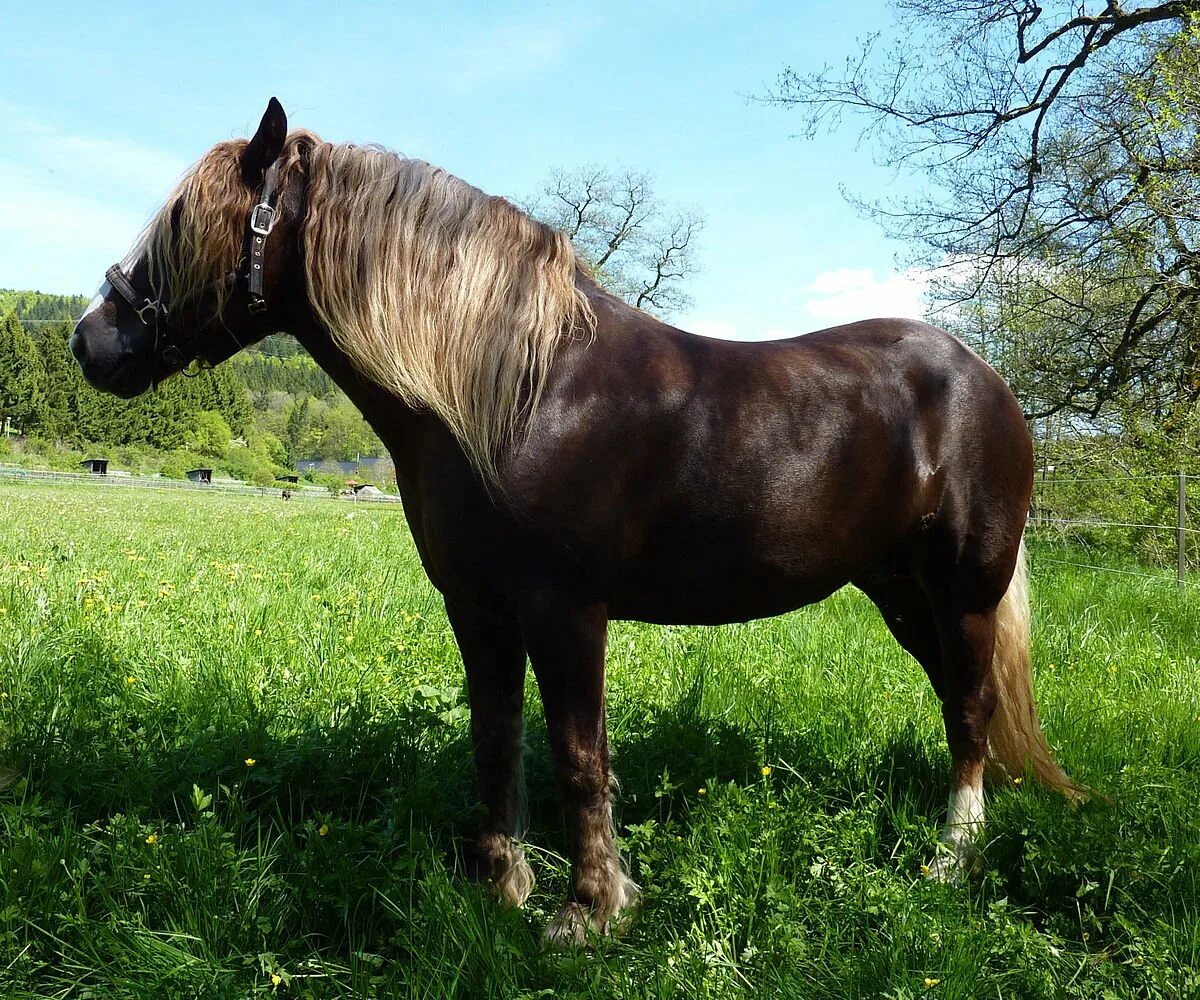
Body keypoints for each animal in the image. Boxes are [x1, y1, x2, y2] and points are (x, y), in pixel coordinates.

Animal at [71, 98, 1081, 945]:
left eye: (183, 225)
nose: (90, 341)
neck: (521, 392)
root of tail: (988, 381)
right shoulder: (478, 610)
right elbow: (495, 742)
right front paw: (498, 888)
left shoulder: (567, 611)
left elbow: (577, 755)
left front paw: (589, 911)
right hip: (901, 594)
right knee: (959, 702)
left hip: (964, 591)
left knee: (972, 709)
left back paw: (950, 861)